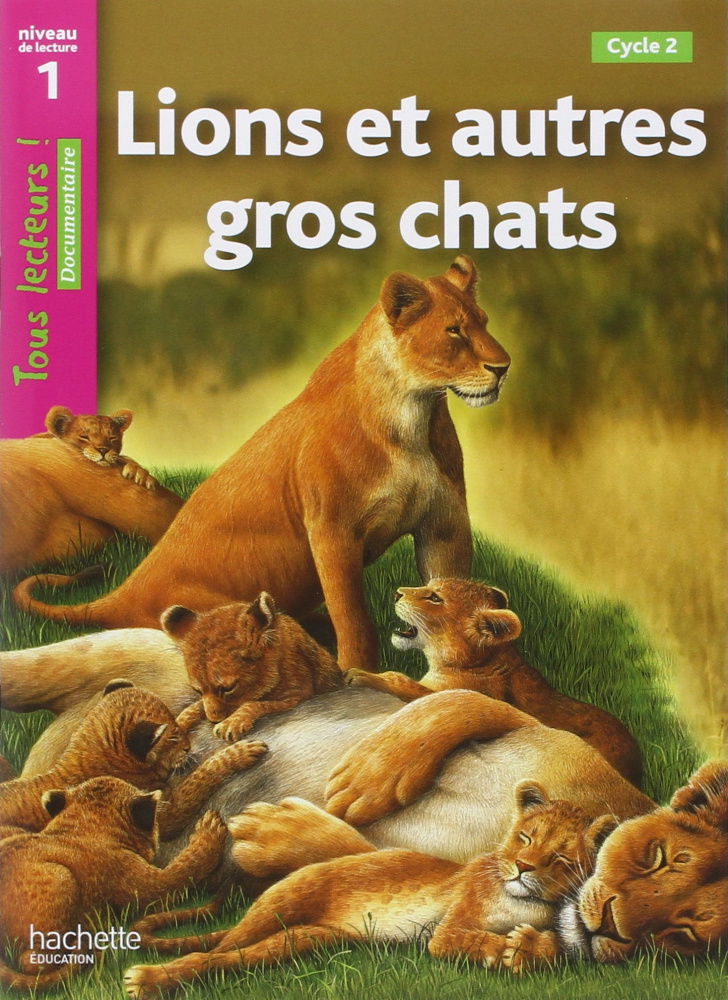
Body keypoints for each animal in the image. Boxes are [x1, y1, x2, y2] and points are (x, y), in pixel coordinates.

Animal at [0, 776, 227, 992]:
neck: (85, 822)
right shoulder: (147, 884)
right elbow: (184, 868)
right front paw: (210, 828)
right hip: (61, 877)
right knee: (31, 962)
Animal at [124, 782, 617, 993]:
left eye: (559, 858)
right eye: (526, 838)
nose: (522, 868)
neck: (526, 901)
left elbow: (560, 947)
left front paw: (528, 948)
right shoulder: (448, 931)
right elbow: (470, 940)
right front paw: (509, 950)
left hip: (302, 939)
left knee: (235, 958)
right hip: (276, 907)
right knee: (210, 951)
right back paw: (144, 979)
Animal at [163, 593, 344, 743]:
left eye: (228, 688)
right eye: (197, 690)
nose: (214, 720)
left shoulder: (297, 696)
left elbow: (256, 704)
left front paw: (230, 724)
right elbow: (195, 706)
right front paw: (174, 725)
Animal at [346, 579, 642, 785]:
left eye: (434, 597)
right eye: (429, 588)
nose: (397, 592)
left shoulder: (450, 696)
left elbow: (402, 680)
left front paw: (360, 674)